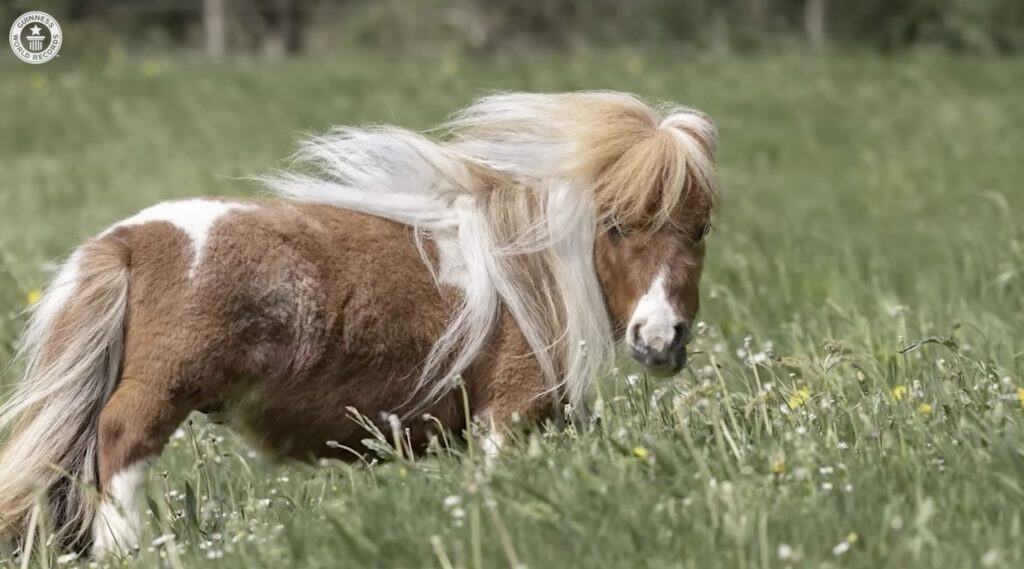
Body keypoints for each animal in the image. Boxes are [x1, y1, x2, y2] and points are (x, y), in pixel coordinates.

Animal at [0, 91, 717, 556]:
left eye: (701, 229)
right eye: (616, 226)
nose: (661, 337)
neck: (526, 275)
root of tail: (128, 239)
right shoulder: (507, 416)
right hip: (158, 395)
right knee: (119, 448)